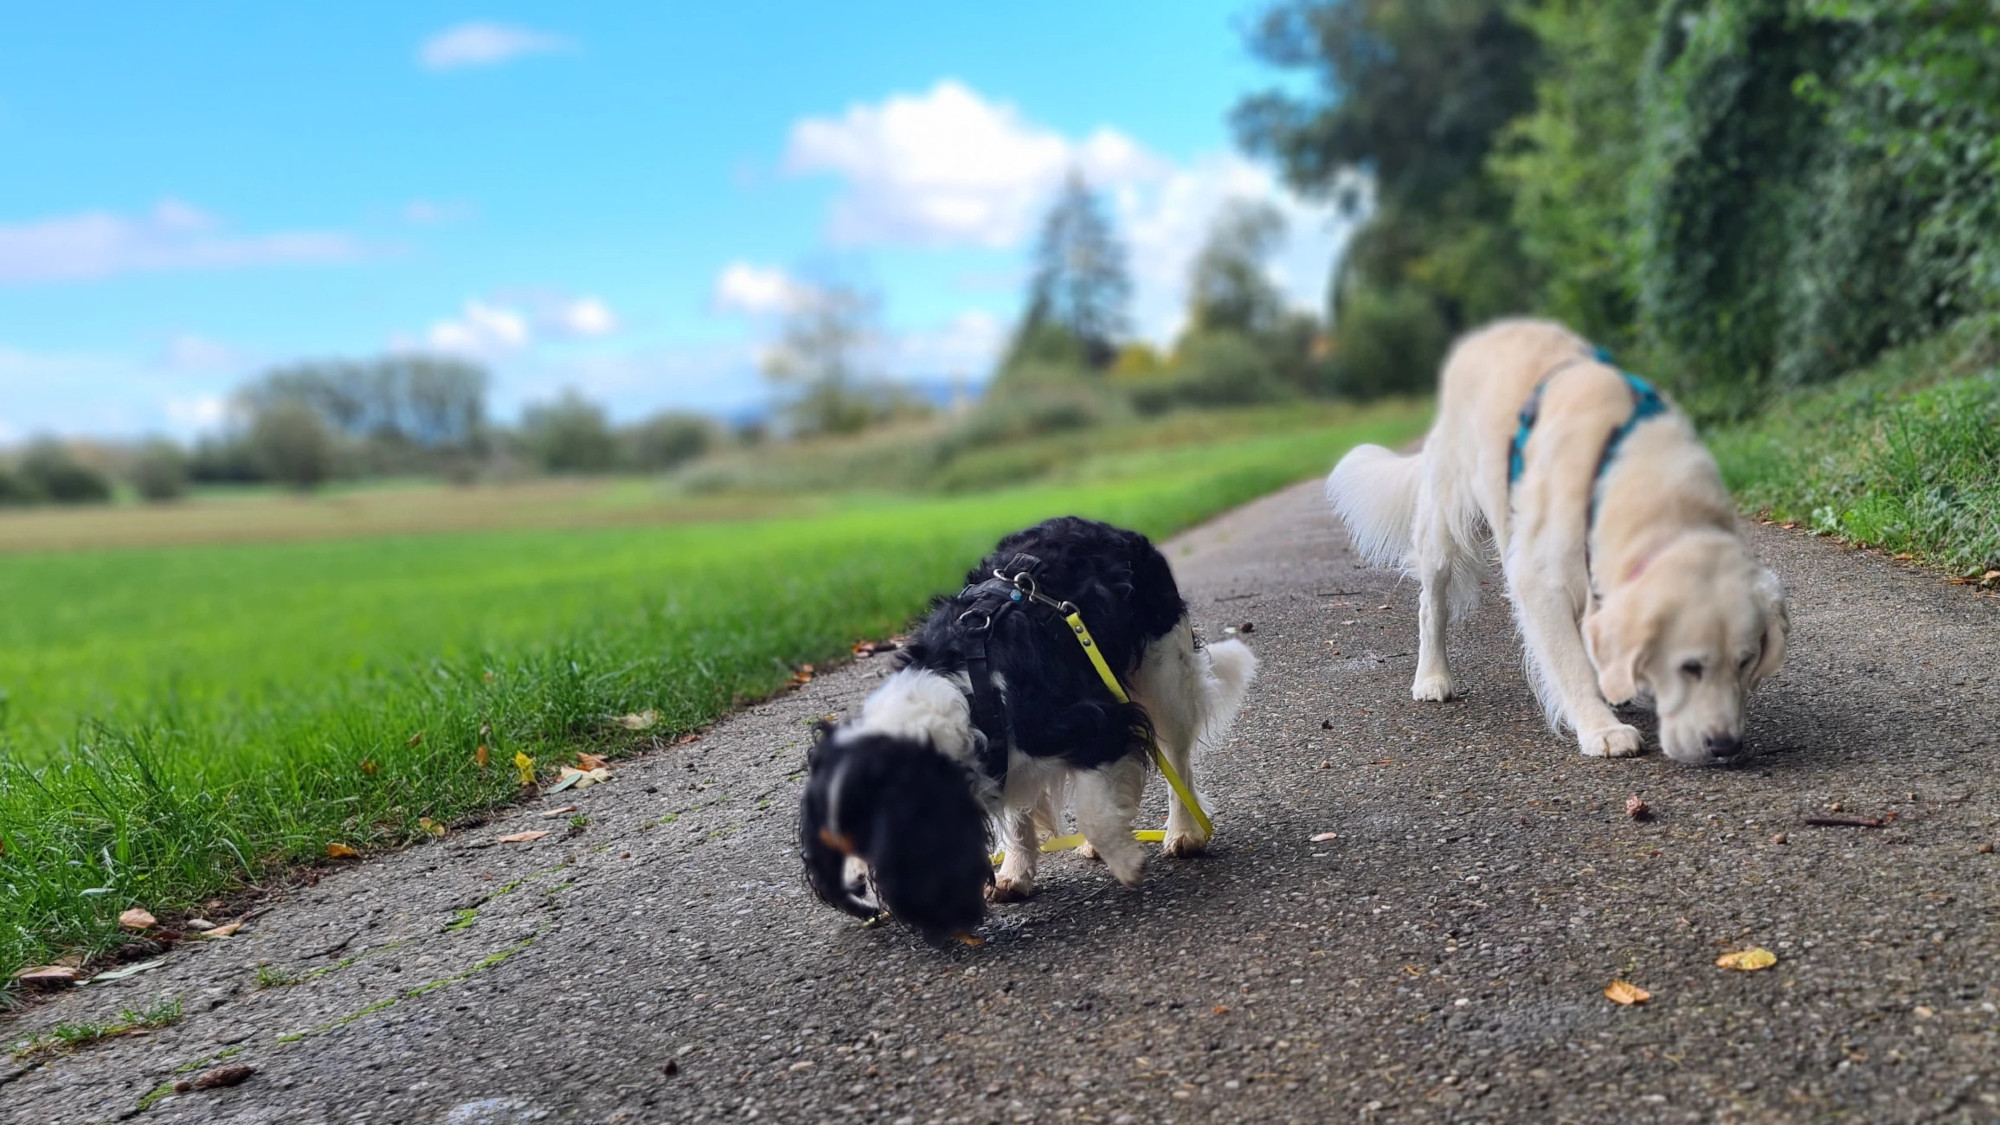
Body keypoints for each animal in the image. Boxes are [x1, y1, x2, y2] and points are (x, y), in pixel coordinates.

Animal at [796, 516, 1248, 936]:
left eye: (872, 842)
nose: (854, 891)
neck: (965, 691)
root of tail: (1103, 525)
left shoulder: (1098, 720)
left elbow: (1094, 810)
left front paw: (1126, 862)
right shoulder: (1005, 749)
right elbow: (1022, 810)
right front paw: (1016, 871)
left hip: (1164, 672)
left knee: (1177, 758)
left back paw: (1184, 831)